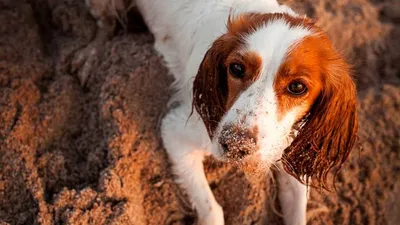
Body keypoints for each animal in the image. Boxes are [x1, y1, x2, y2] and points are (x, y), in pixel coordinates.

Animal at [86, 0, 358, 224]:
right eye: (236, 68)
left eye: (297, 87)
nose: (235, 145)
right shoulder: (175, 133)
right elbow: (212, 209)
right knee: (104, 25)